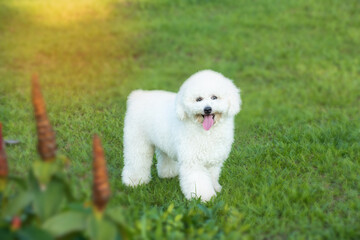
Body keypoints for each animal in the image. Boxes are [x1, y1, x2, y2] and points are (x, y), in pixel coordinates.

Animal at [121, 69, 242, 201]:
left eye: (214, 97)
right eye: (198, 99)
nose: (207, 109)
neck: (206, 131)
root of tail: (137, 96)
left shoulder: (212, 160)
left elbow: (212, 176)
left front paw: (215, 188)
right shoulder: (193, 161)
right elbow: (199, 181)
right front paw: (204, 197)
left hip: (163, 141)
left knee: (164, 156)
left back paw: (168, 173)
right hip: (137, 140)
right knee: (136, 160)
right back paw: (134, 181)